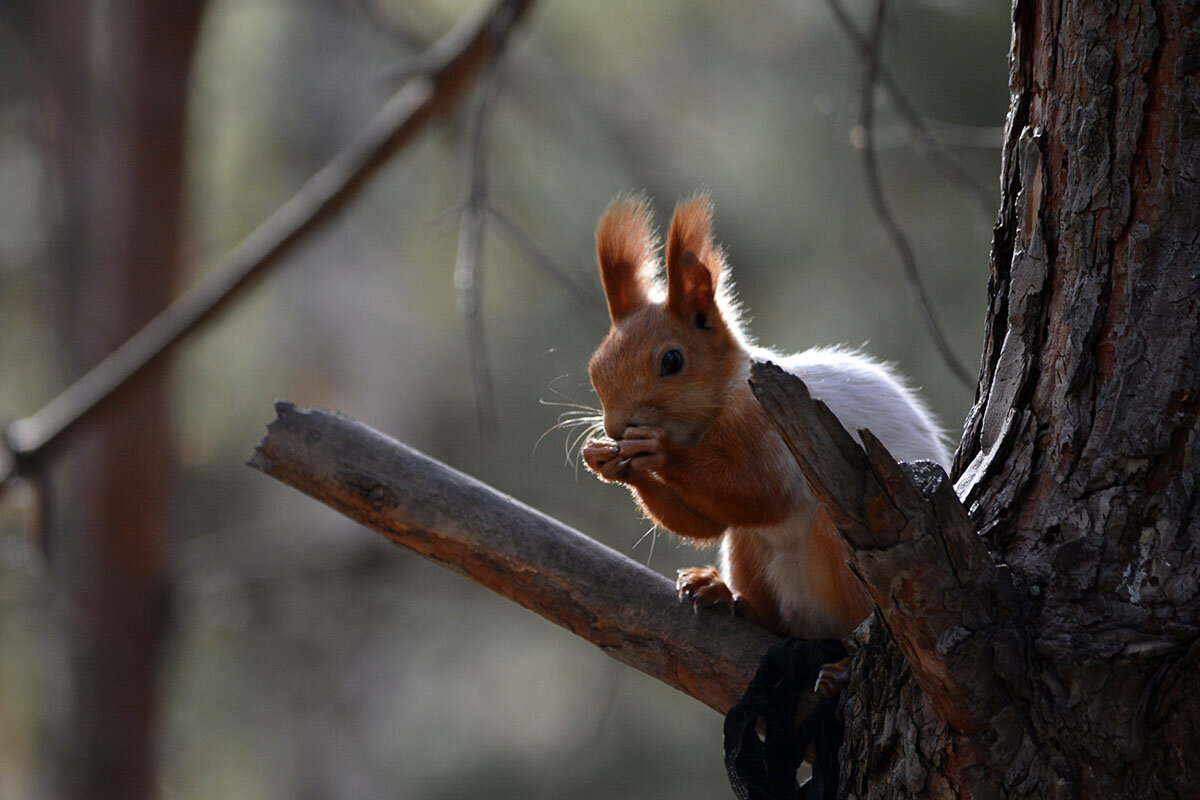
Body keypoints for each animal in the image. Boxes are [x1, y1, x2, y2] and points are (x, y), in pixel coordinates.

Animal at [580, 196, 945, 647]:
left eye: (672, 360)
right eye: (595, 369)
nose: (616, 429)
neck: (711, 414)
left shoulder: (764, 423)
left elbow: (763, 491)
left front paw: (659, 450)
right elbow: (708, 521)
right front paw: (604, 461)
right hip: (748, 552)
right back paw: (723, 594)